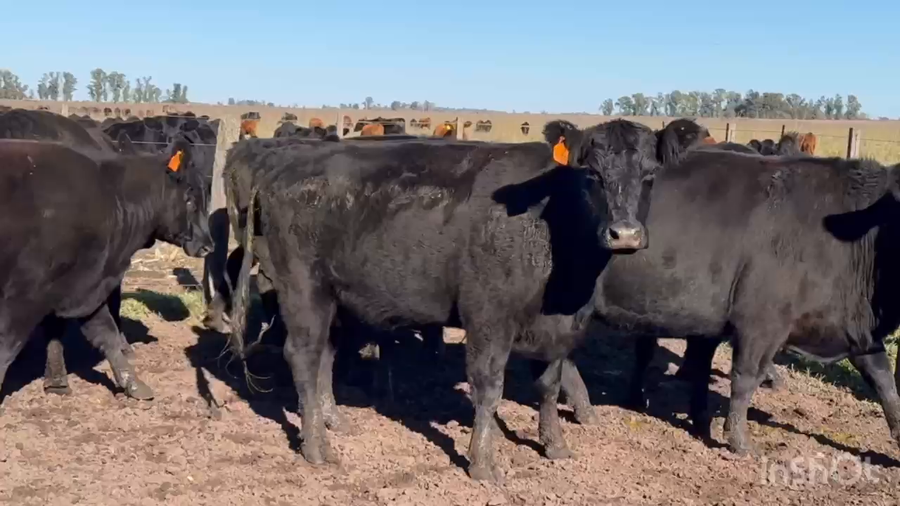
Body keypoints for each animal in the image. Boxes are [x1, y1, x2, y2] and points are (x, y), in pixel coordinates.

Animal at [0, 138, 213, 407]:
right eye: (189, 199)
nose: (208, 246)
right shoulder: (26, 296)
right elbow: (6, 348)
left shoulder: (83, 287)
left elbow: (104, 335)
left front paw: (132, 385)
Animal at [223, 118, 712, 481]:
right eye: (592, 174)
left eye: (650, 175)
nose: (624, 234)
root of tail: (281, 166)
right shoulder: (489, 317)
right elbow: (489, 388)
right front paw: (483, 463)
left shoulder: (558, 327)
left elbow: (549, 385)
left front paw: (554, 445)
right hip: (302, 288)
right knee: (303, 356)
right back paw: (317, 448)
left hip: (334, 297)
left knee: (324, 355)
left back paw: (333, 420)